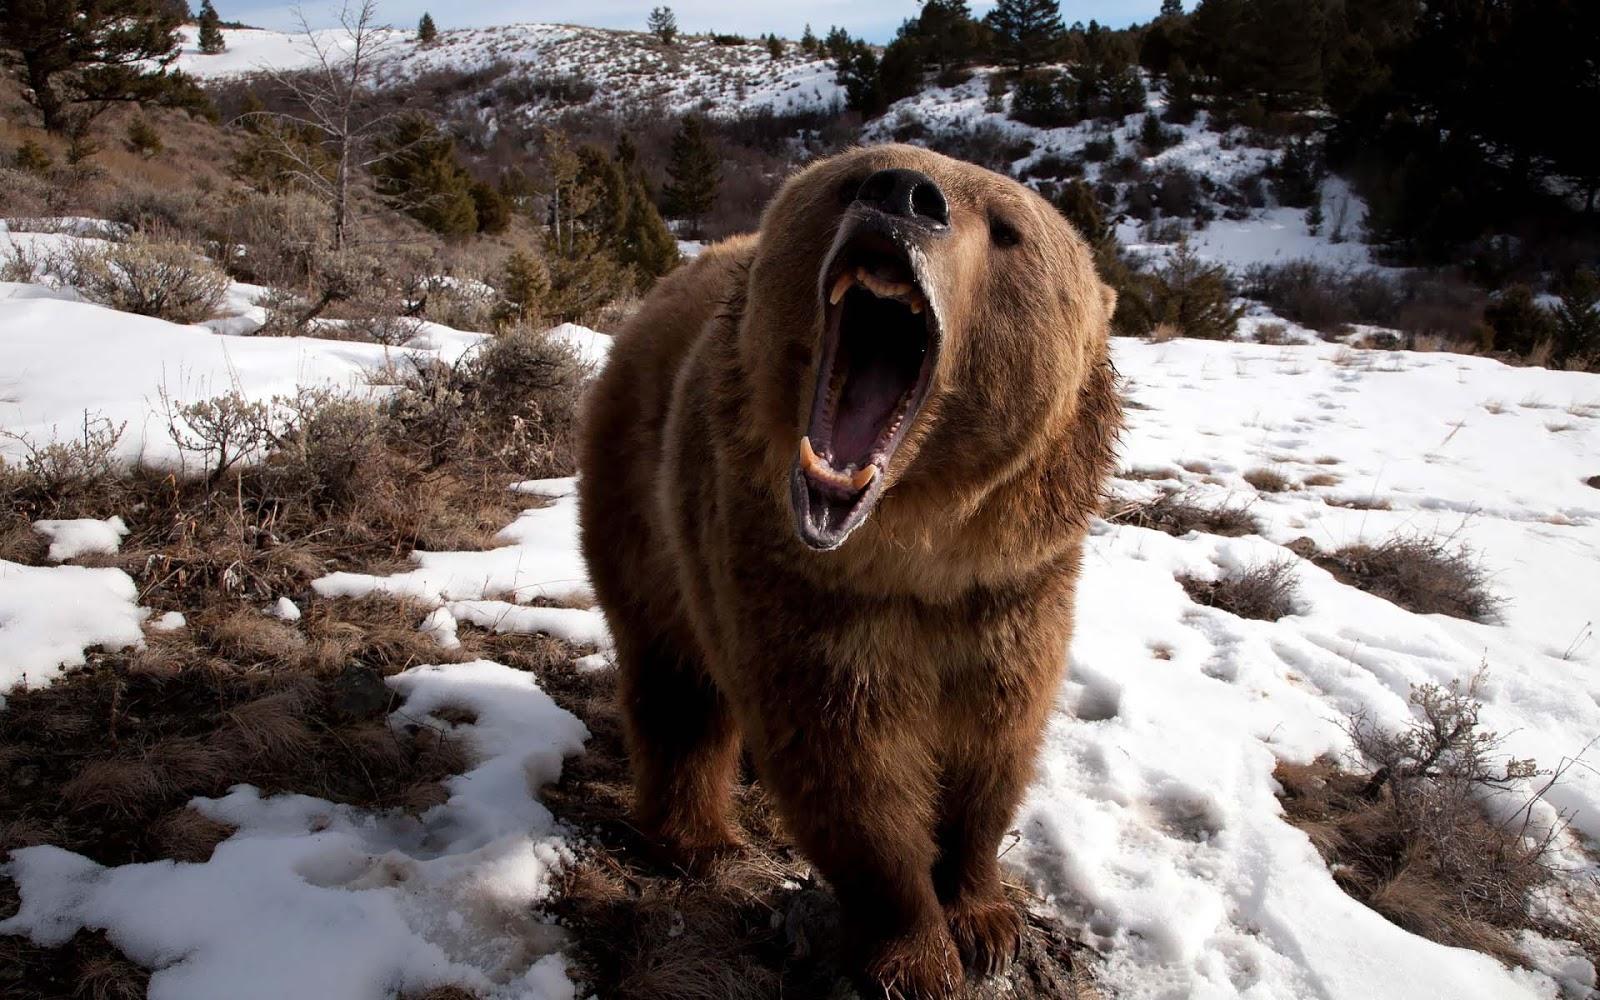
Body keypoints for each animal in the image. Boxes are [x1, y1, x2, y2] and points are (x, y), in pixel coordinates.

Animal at [577, 143, 1121, 999]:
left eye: (1008, 228)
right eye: (856, 176)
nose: (904, 195)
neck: (917, 549)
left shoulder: (1014, 589)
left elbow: (994, 745)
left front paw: (986, 920)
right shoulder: (806, 588)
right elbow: (849, 768)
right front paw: (918, 955)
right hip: (643, 498)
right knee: (675, 679)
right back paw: (701, 839)